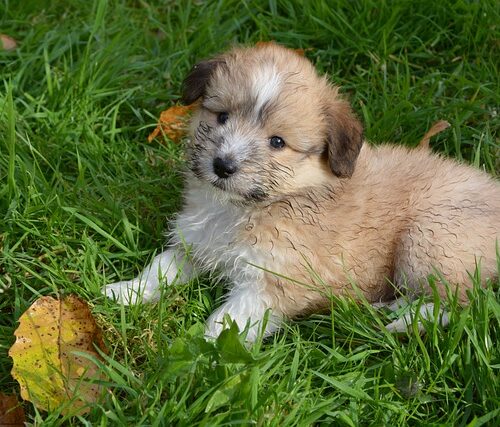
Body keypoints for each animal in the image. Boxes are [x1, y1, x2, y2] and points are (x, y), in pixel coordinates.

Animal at [103, 44, 498, 342]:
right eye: (222, 117)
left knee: (462, 302)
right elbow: (160, 269)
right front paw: (124, 292)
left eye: (277, 142)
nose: (223, 165)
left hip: (428, 239)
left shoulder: (274, 281)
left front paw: (201, 353)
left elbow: (228, 321)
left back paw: (401, 319)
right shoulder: (196, 243)